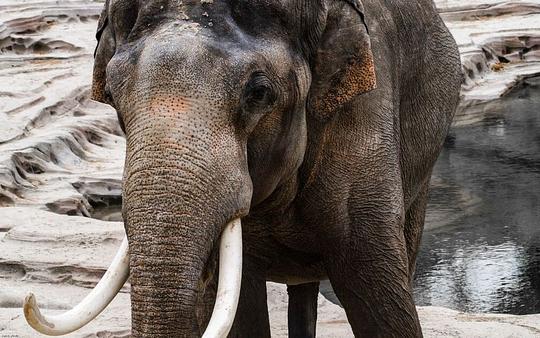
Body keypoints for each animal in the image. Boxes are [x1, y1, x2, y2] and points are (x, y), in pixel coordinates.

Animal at [21, 0, 460, 336]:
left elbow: (375, 292)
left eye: (259, 93)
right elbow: (243, 303)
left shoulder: (364, 116)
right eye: (111, 94)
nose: (31, 298)